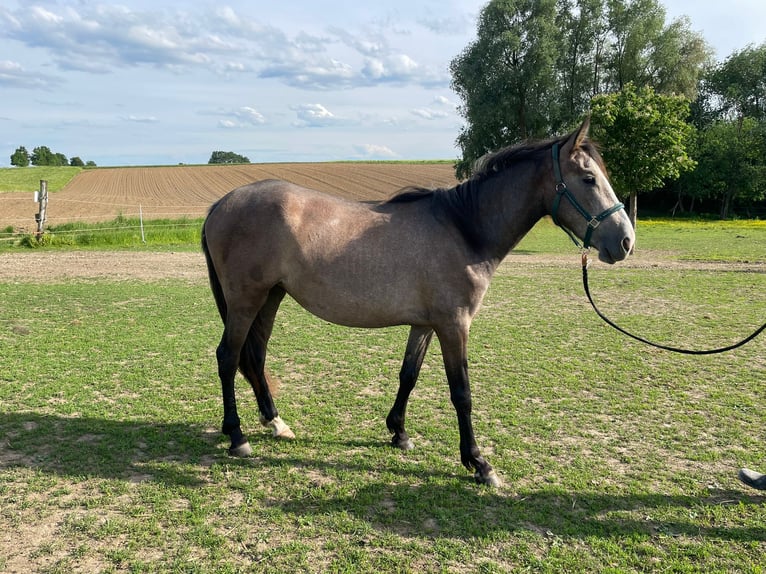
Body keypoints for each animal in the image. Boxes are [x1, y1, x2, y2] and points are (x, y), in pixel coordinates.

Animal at [201, 119, 632, 488]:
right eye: (589, 178)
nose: (626, 241)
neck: (464, 228)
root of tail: (222, 204)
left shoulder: (425, 324)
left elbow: (408, 375)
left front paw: (399, 432)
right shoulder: (454, 325)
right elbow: (461, 393)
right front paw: (478, 462)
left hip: (270, 297)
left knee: (254, 357)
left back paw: (276, 423)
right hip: (246, 300)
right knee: (227, 357)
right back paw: (237, 436)